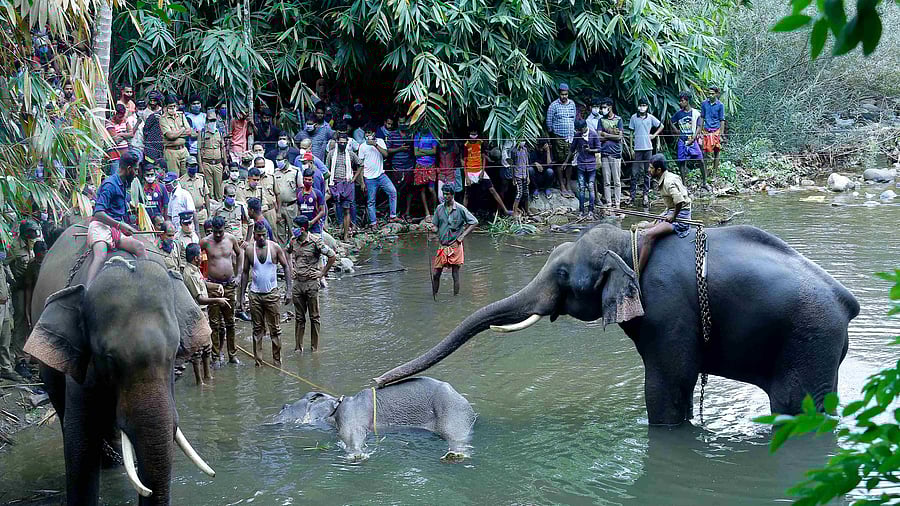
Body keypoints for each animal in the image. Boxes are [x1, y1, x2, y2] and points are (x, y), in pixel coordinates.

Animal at [274, 377, 477, 460]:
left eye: (284, 407)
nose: (282, 407)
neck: (335, 404)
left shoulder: (351, 413)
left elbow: (351, 433)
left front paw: (357, 456)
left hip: (451, 410)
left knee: (455, 434)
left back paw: (454, 455)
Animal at [375, 224, 859, 426]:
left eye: (564, 274)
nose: (377, 382)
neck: (633, 242)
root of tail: (847, 302)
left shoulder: (667, 308)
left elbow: (669, 382)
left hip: (809, 337)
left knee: (796, 406)